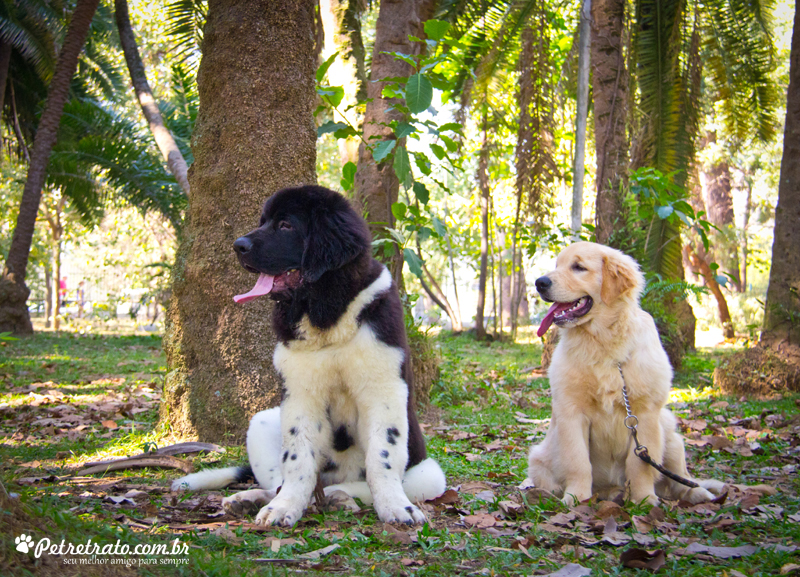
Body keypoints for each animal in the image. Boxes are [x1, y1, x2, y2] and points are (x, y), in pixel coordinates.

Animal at [173, 184, 446, 528]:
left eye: (286, 226)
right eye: (263, 221)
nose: (237, 246)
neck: (326, 313)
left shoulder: (384, 389)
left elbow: (382, 457)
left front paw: (395, 507)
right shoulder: (300, 394)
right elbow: (297, 458)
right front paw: (284, 507)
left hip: (429, 474)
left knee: (363, 481)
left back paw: (339, 496)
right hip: (261, 421)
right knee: (278, 479)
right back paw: (254, 499)